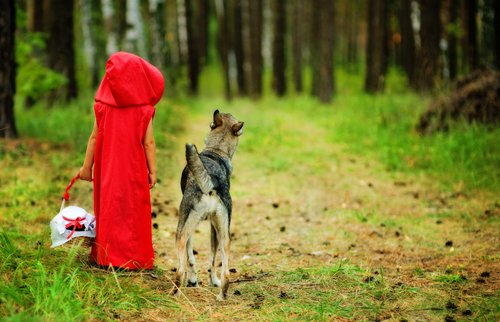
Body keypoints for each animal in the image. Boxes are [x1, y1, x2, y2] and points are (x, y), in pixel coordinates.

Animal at [174, 109, 244, 300]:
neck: (216, 150)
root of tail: (211, 181)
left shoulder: (187, 224)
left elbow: (190, 256)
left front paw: (192, 280)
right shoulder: (213, 226)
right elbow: (212, 258)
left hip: (182, 229)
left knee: (180, 266)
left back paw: (175, 292)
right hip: (224, 233)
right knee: (224, 270)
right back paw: (221, 294)